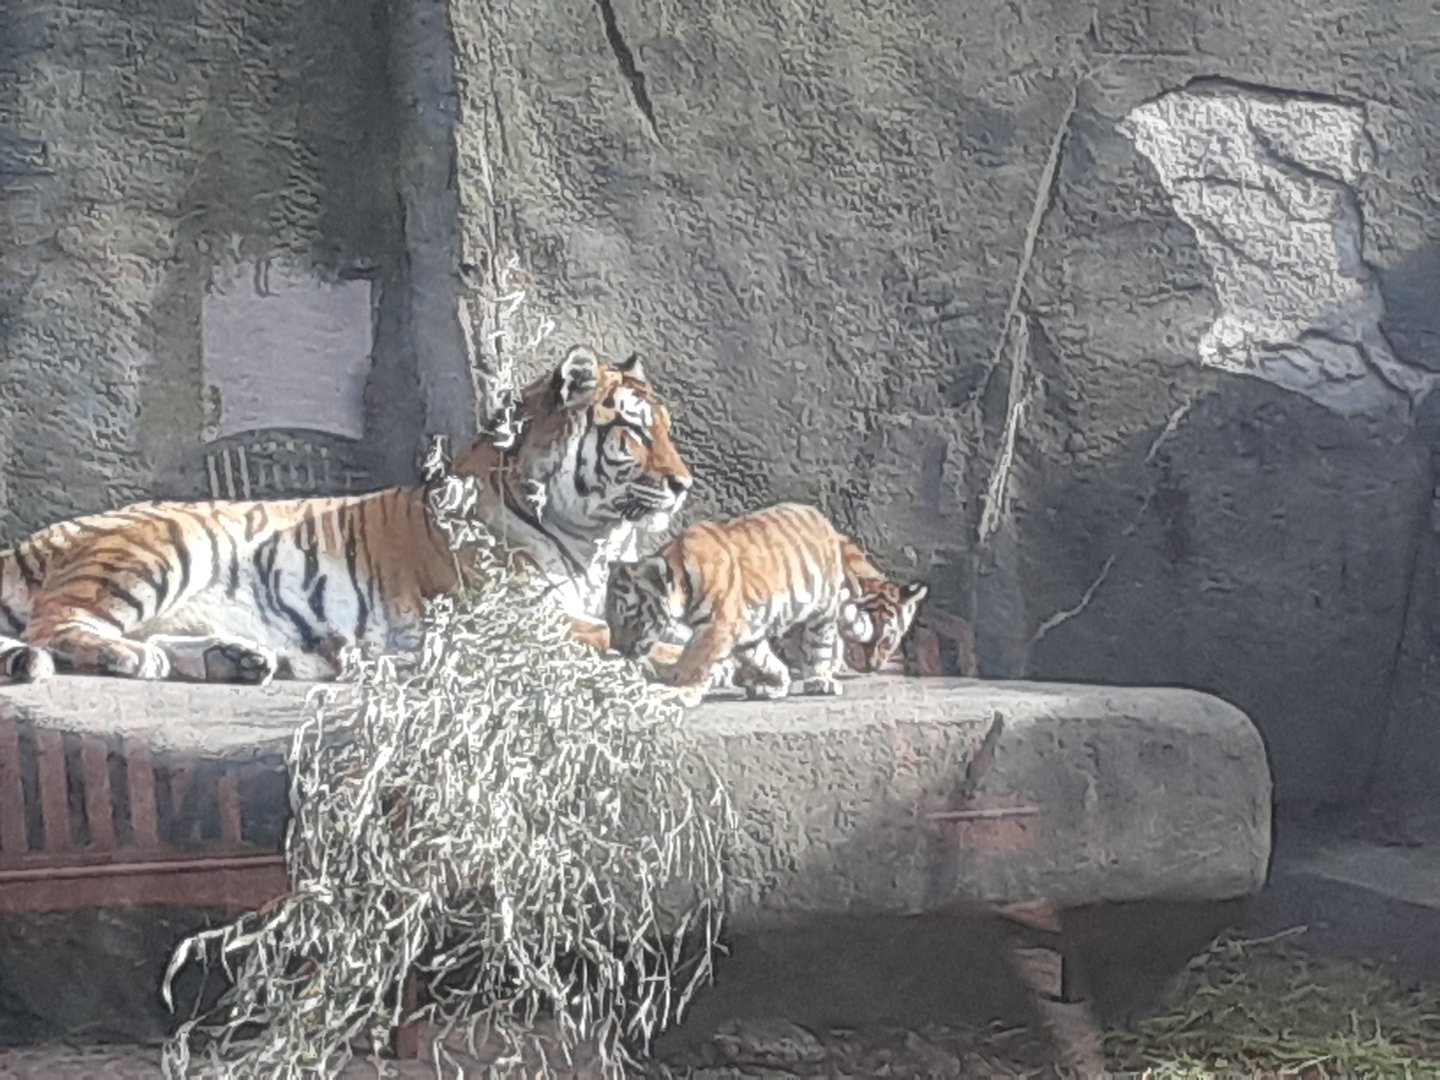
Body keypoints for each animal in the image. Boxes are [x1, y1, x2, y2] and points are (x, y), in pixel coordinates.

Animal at [0, 346, 692, 686]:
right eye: (634, 431)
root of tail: (34, 539)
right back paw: (130, 658)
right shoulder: (517, 622)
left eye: (667, 429)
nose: (685, 485)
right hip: (161, 547)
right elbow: (624, 639)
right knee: (56, 626)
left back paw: (239, 658)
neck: (591, 541)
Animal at [603, 502, 928, 706]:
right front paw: (774, 683)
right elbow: (762, 657)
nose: (619, 651)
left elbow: (694, 663)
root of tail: (823, 520)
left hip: (821, 612)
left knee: (822, 646)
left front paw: (675, 689)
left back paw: (820, 680)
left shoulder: (716, 627)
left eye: (628, 616)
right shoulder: (744, 631)